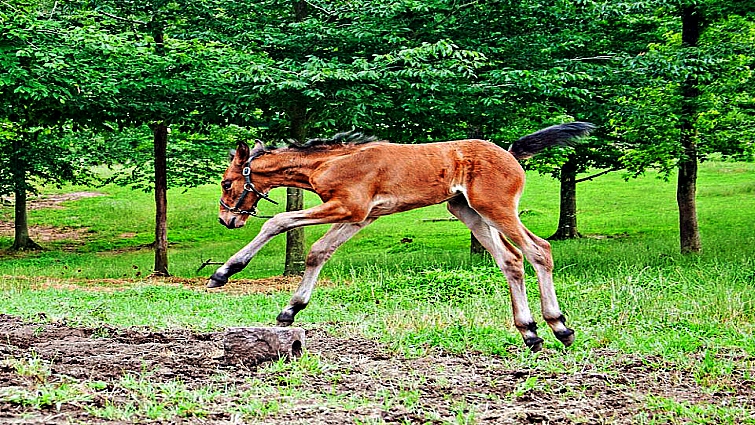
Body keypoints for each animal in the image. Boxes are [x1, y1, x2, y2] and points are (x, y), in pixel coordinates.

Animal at [209, 122, 594, 352]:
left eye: (227, 183)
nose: (226, 219)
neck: (330, 162)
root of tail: (511, 153)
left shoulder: (348, 207)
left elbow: (277, 222)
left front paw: (224, 272)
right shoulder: (361, 216)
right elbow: (319, 251)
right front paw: (291, 309)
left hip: (495, 207)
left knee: (539, 250)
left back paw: (559, 326)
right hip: (468, 211)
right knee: (511, 260)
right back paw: (529, 331)